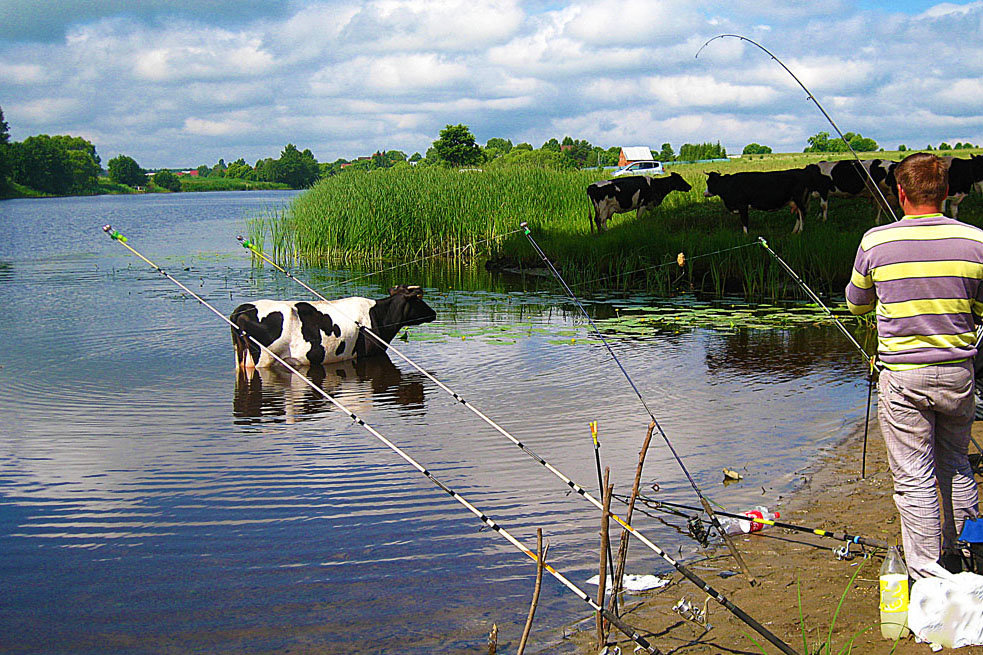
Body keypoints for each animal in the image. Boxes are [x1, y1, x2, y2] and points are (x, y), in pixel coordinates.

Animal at [233, 286, 436, 372]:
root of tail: (242, 310)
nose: (433, 313)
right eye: (419, 299)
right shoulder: (370, 354)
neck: (378, 315)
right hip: (263, 359)